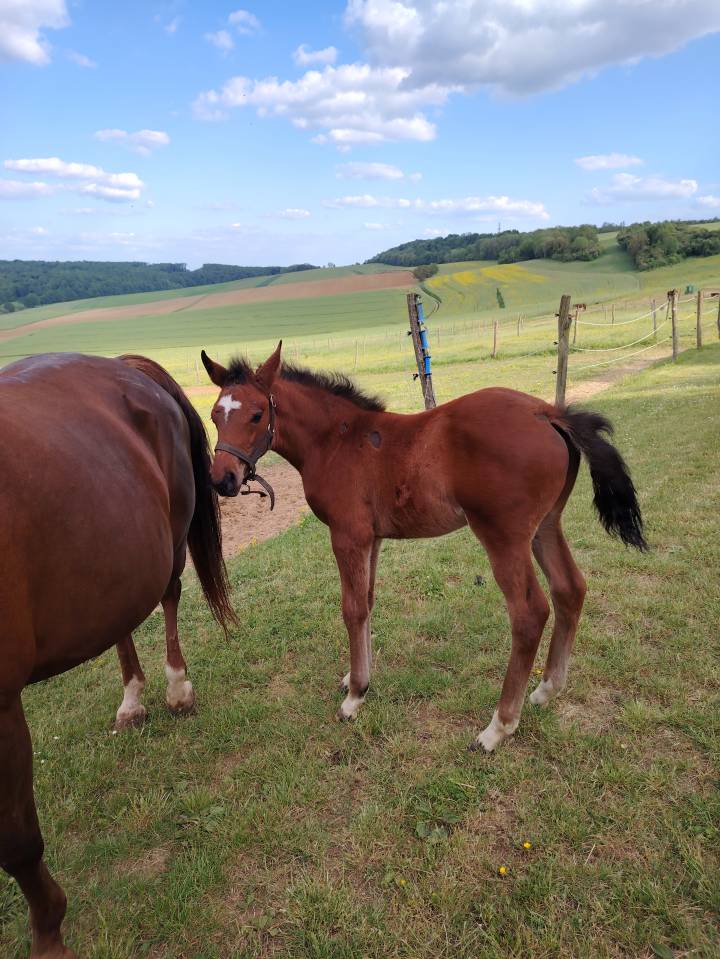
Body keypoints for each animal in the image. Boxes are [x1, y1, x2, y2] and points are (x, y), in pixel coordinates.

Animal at [0, 352, 234, 959]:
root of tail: (121, 364)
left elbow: (17, 841)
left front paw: (49, 933)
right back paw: (132, 699)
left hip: (170, 537)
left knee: (169, 595)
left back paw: (176, 688)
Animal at [201, 342, 646, 753]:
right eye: (214, 416)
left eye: (257, 414)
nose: (222, 479)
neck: (336, 441)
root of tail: (546, 413)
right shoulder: (372, 538)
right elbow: (368, 601)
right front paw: (358, 678)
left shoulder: (348, 535)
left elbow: (352, 608)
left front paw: (355, 696)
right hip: (546, 525)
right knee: (570, 588)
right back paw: (546, 690)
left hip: (504, 536)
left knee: (530, 613)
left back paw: (498, 727)